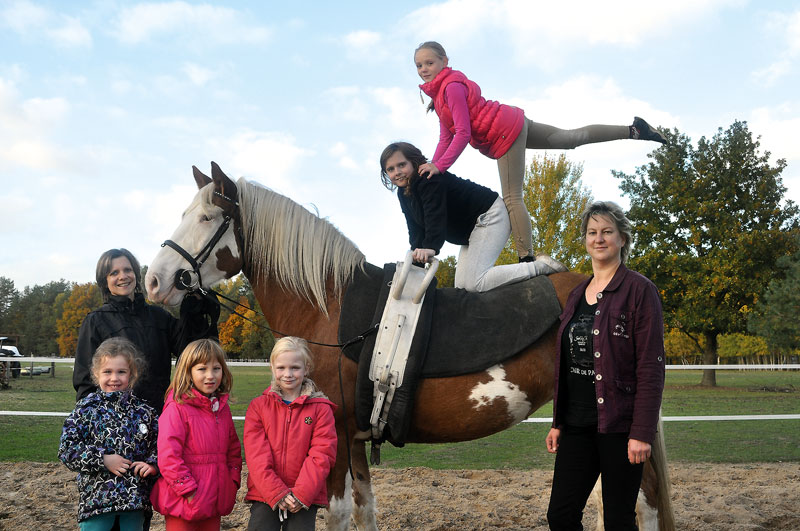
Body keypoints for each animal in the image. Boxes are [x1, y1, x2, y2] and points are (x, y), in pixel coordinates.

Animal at [145, 163, 676, 531]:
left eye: (208, 217)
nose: (154, 280)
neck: (329, 306)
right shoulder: (355, 439)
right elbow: (365, 510)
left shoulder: (336, 436)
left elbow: (337, 513)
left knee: (645, 505)